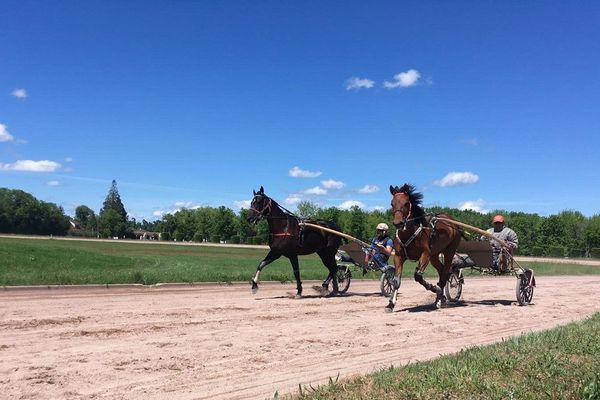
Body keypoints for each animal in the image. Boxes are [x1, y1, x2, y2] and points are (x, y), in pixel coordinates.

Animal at [386, 184, 462, 312]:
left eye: (406, 203)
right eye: (392, 203)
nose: (398, 223)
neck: (409, 233)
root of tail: (454, 222)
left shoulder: (425, 254)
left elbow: (418, 276)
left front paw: (432, 287)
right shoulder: (398, 256)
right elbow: (396, 281)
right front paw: (391, 304)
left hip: (449, 251)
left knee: (445, 272)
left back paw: (438, 298)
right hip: (435, 255)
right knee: (441, 270)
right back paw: (440, 297)